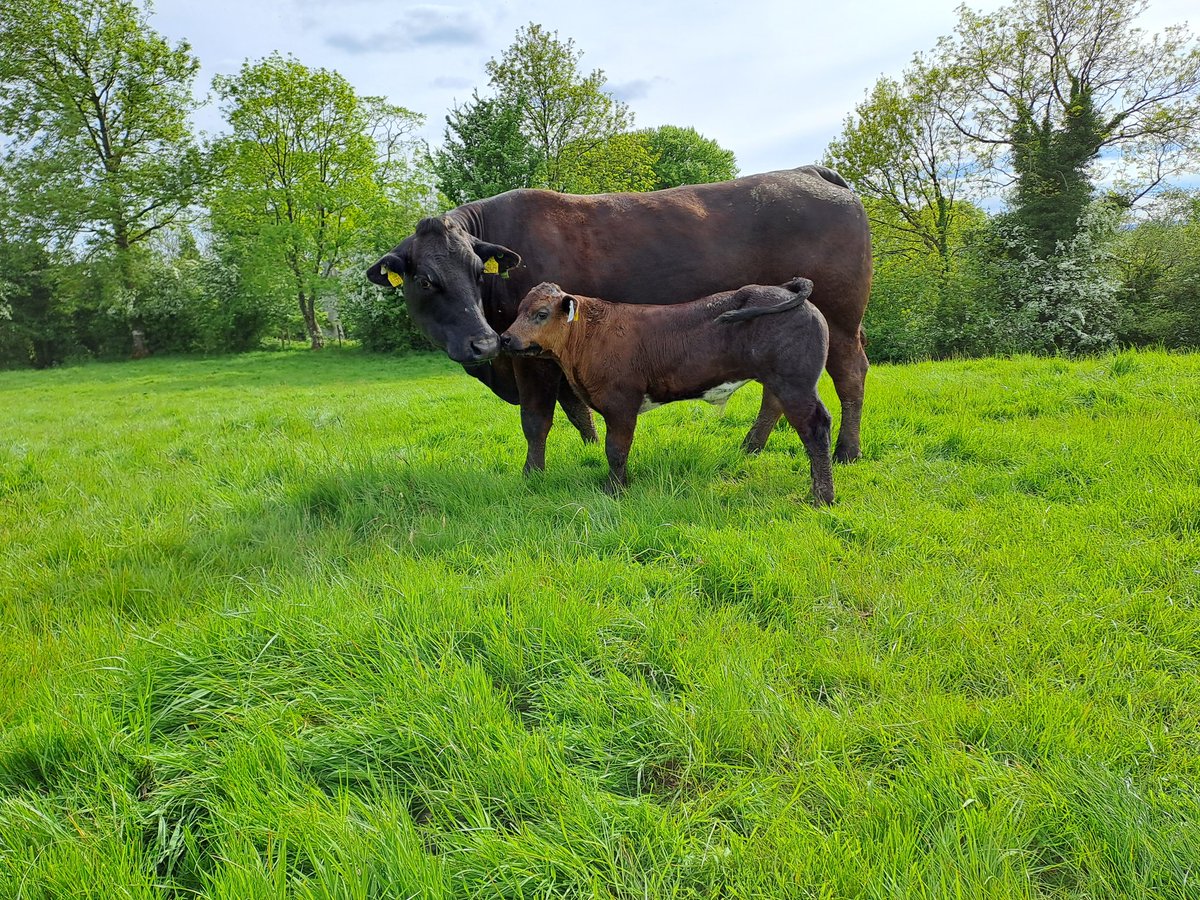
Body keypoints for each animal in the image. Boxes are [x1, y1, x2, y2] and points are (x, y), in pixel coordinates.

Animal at [364, 165, 873, 472]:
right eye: (425, 280)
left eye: (476, 270)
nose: (484, 343)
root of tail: (808, 171)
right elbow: (577, 410)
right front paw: (589, 451)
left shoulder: (532, 356)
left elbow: (537, 418)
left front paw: (532, 474)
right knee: (777, 393)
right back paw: (751, 446)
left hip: (841, 318)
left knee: (850, 375)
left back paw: (846, 451)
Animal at [499, 280, 835, 504]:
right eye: (518, 311)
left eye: (541, 313)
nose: (505, 338)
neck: (588, 336)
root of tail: (786, 290)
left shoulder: (621, 403)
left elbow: (615, 449)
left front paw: (614, 491)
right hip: (782, 383)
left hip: (795, 384)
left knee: (816, 429)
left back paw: (823, 497)